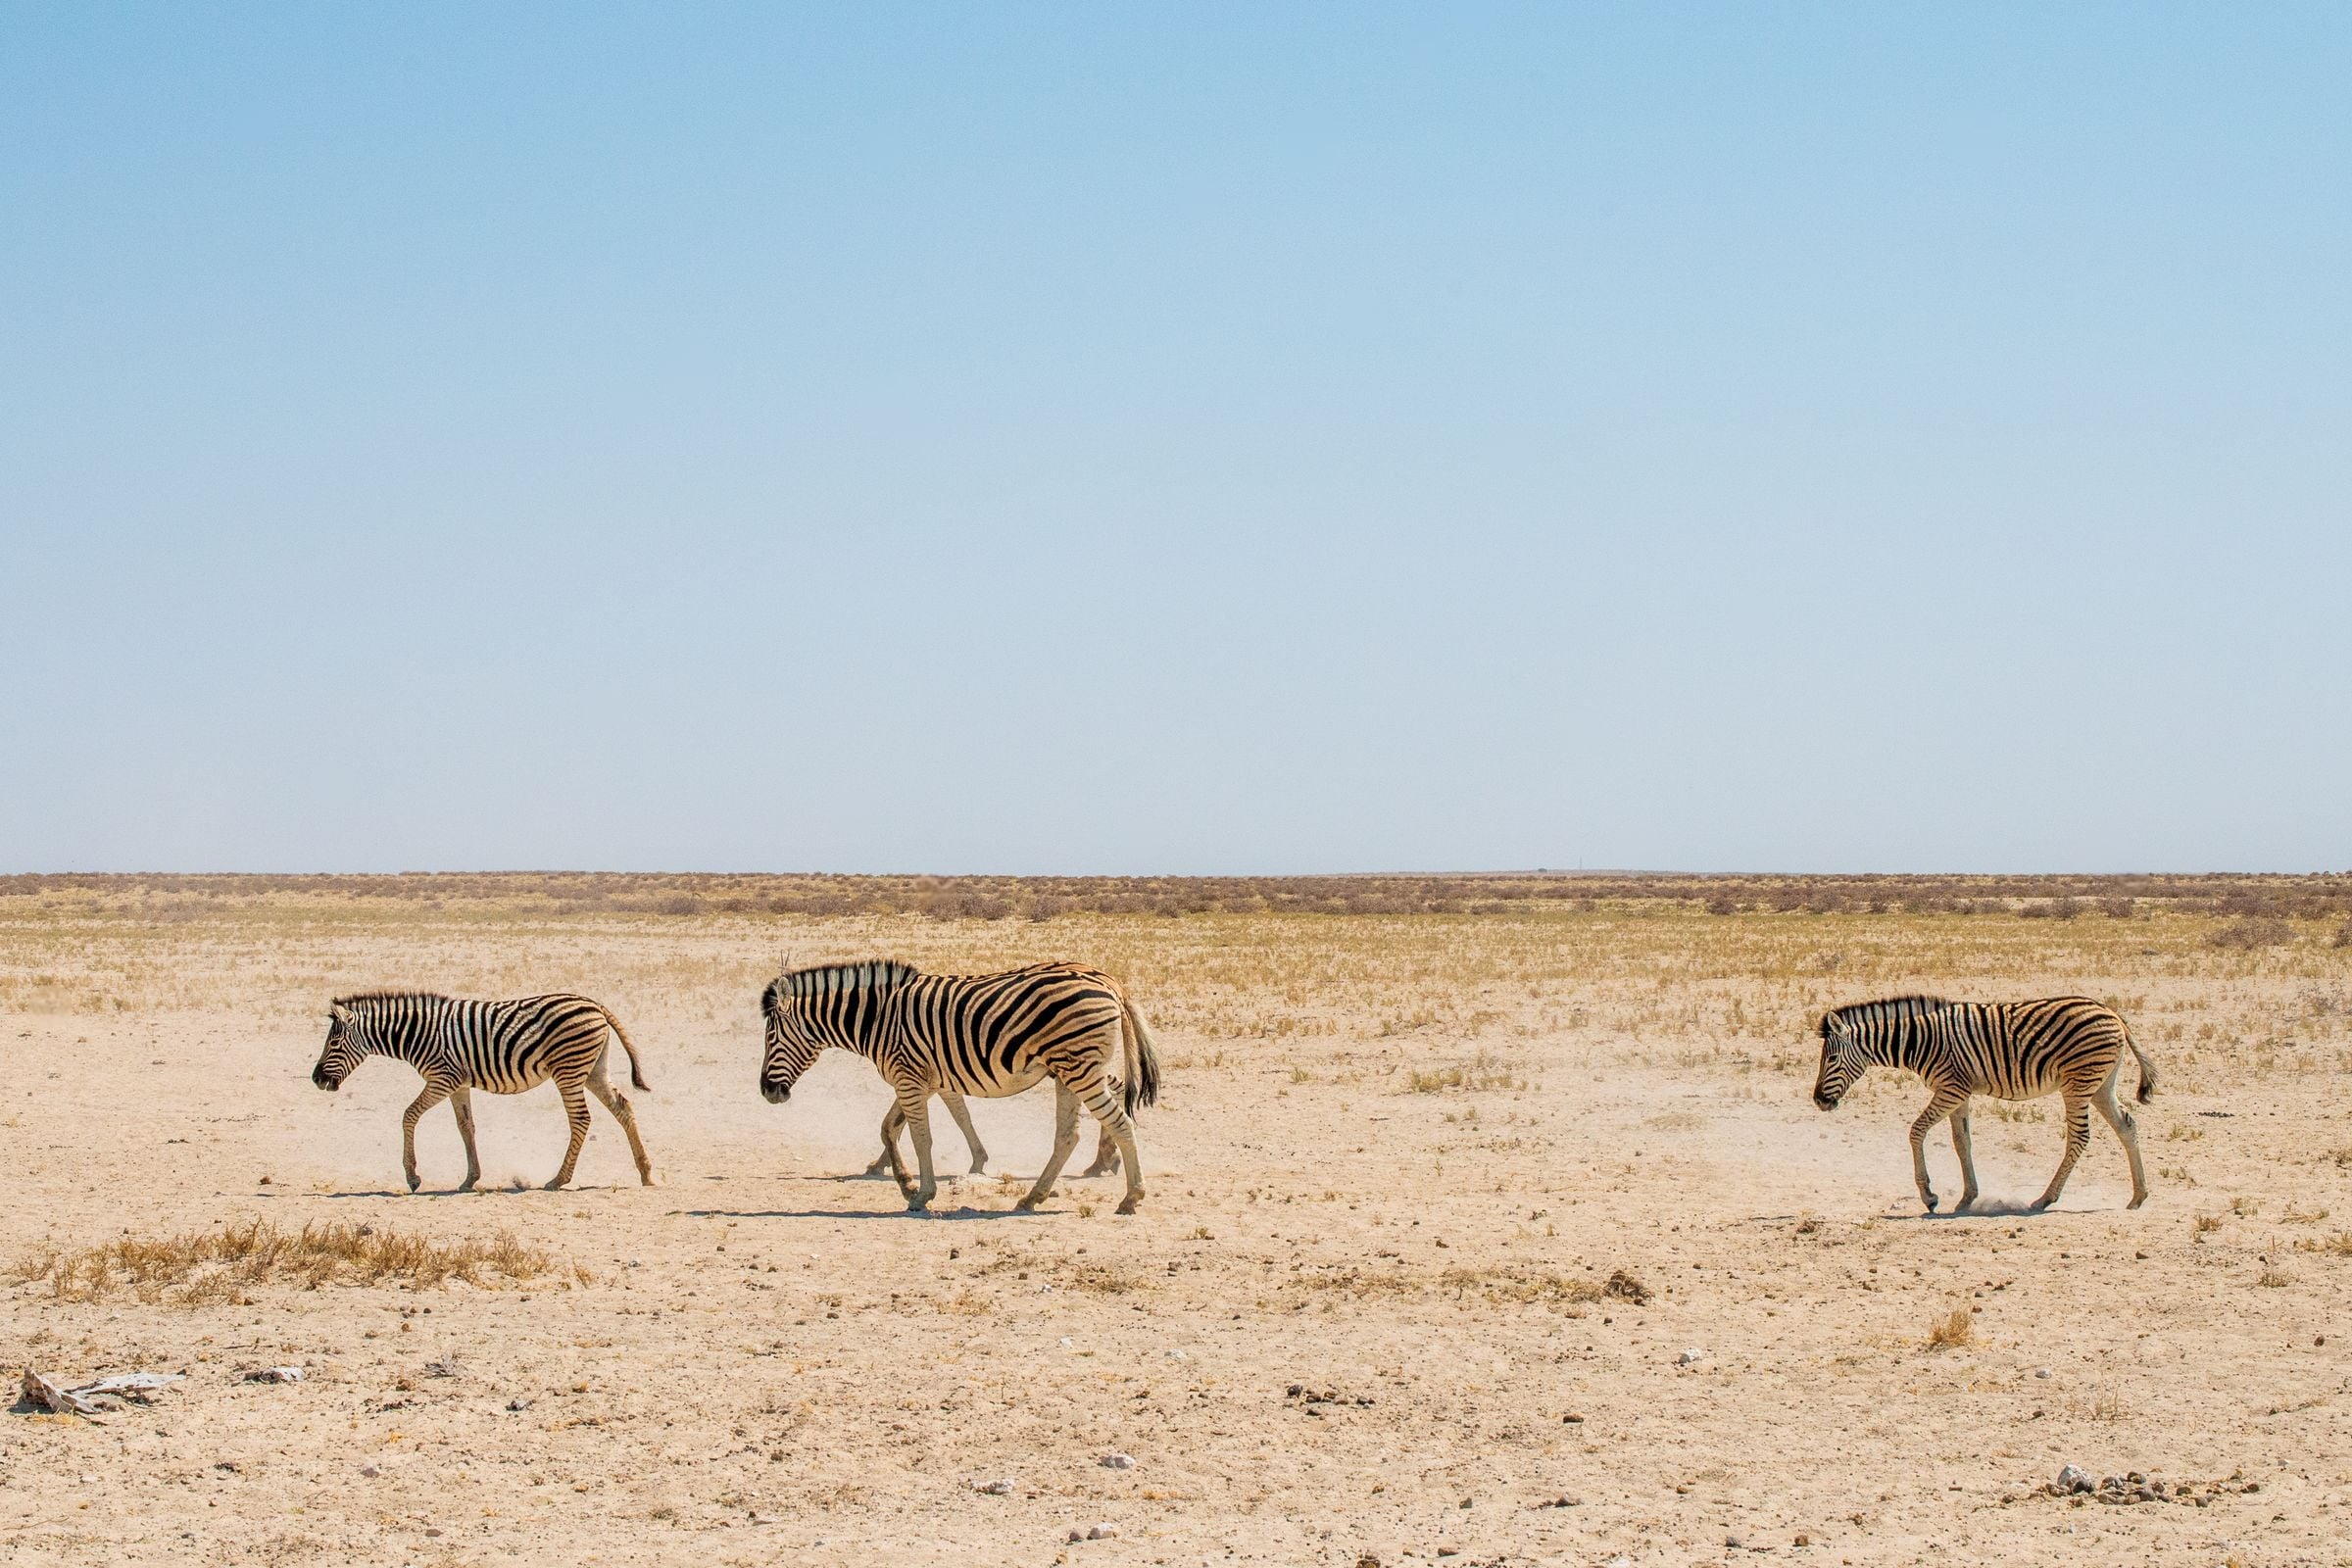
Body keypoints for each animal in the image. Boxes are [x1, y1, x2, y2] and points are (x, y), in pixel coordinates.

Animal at [310, 991, 656, 1193]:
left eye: (334, 1043)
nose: (315, 1079)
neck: (416, 1034)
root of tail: (594, 1004)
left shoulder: (442, 1078)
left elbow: (408, 1115)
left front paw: (412, 1177)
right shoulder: (458, 1084)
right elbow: (466, 1127)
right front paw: (469, 1179)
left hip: (569, 1069)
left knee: (581, 1119)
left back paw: (559, 1179)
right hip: (593, 1069)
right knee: (623, 1107)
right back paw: (646, 1173)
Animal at [760, 959, 1160, 1214]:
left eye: (770, 1037)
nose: (767, 1091)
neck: (877, 1019)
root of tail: (1110, 982)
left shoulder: (909, 1078)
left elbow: (921, 1137)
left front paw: (922, 1194)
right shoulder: (922, 1079)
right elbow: (892, 1128)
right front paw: (904, 1181)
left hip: (1079, 1068)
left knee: (1120, 1121)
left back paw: (1131, 1195)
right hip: (1068, 1070)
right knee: (1069, 1135)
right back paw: (1036, 1196)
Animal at [1811, 994, 2156, 1214]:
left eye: (1831, 1058)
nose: (1818, 1101)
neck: (1919, 1041)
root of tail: (2112, 1013)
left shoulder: (1950, 1089)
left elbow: (1916, 1131)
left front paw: (1929, 1196)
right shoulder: (1959, 1092)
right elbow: (1961, 1141)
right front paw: (1967, 1198)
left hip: (2078, 1082)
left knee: (2080, 1137)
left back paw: (2045, 1199)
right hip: (2100, 1084)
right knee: (2127, 1126)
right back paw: (2138, 1196)